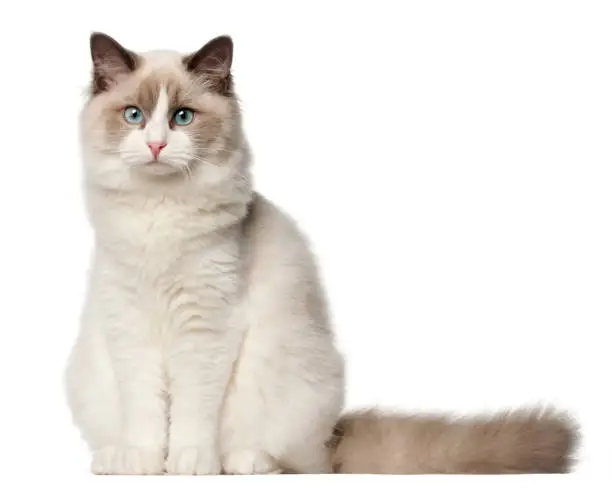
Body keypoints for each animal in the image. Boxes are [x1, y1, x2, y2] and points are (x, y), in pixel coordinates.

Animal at [63, 31, 580, 476]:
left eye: (182, 117)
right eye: (134, 115)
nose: (155, 145)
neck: (160, 213)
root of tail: (334, 442)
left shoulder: (204, 327)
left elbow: (192, 410)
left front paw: (190, 463)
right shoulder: (130, 324)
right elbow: (146, 410)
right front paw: (146, 462)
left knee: (292, 458)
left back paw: (244, 462)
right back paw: (113, 457)